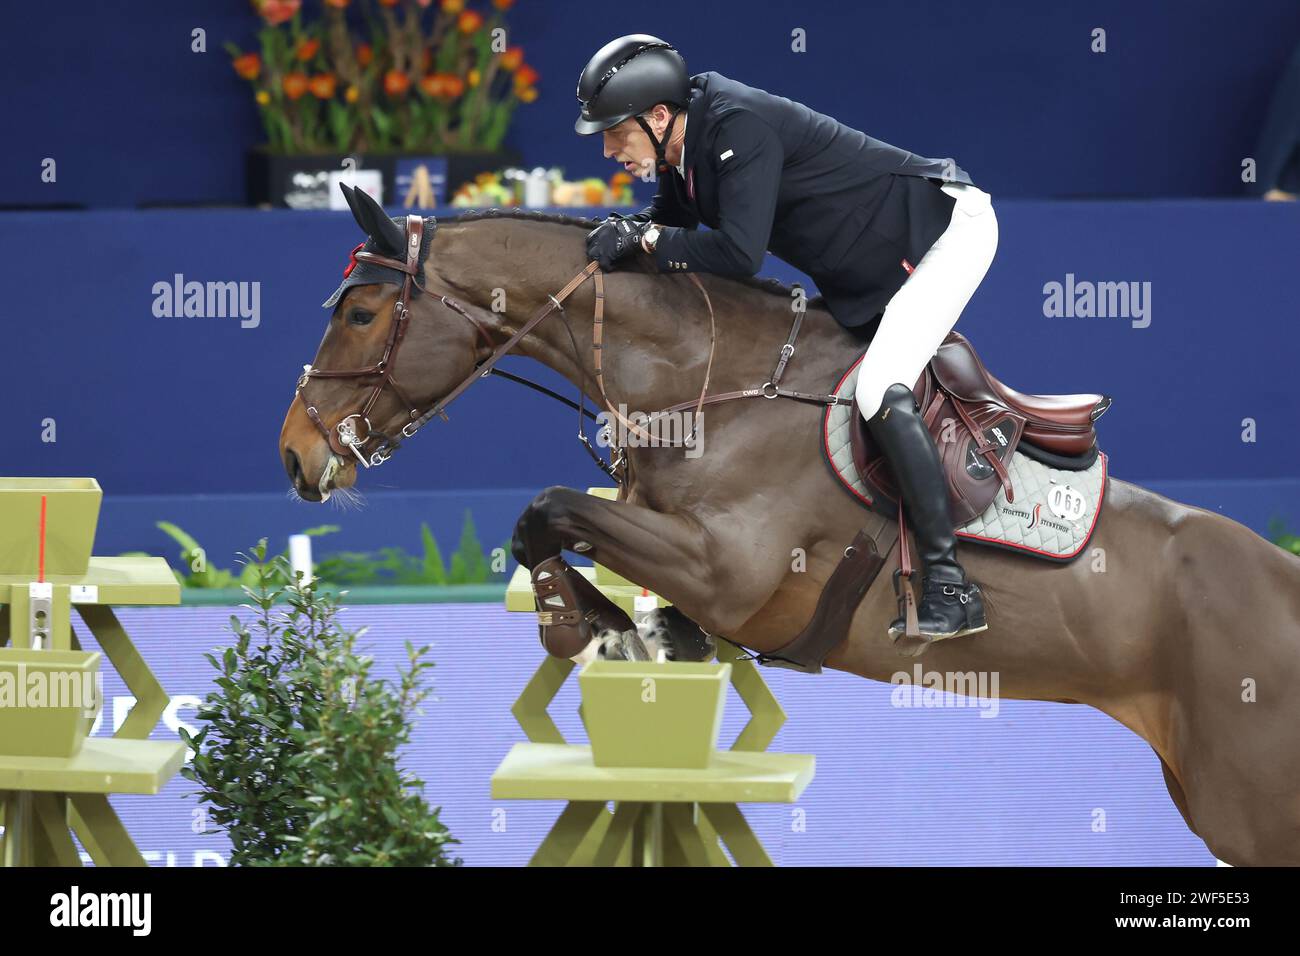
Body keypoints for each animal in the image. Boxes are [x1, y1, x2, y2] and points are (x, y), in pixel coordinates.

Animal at [279, 197, 1300, 863]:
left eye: (362, 313)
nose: (295, 454)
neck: (710, 385)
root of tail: (1281, 585)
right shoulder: (666, 537)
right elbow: (561, 530)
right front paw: (627, 631)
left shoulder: (728, 569)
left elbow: (550, 508)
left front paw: (581, 627)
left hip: (1247, 806)